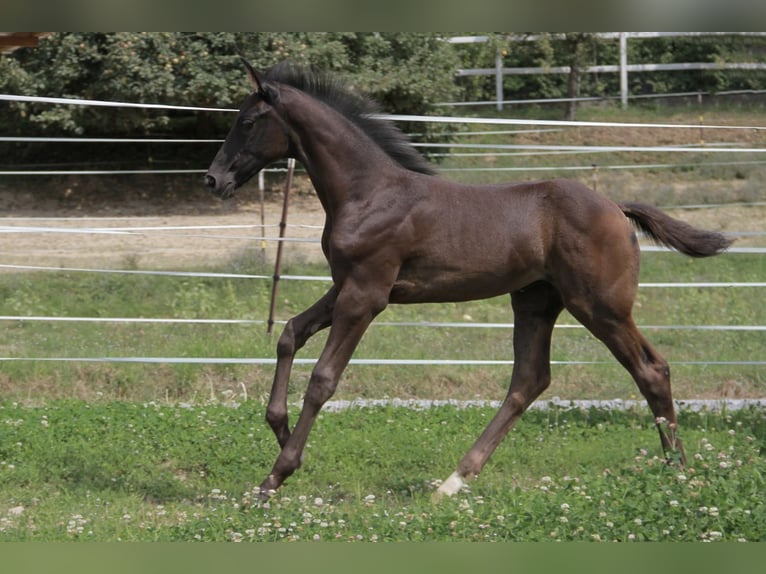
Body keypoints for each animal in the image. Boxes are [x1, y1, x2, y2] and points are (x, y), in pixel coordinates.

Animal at [205, 59, 733, 501]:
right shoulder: (346, 285)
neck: (368, 192)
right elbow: (290, 332)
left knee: (650, 370)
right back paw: (454, 480)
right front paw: (279, 429)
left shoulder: (366, 295)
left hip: (600, 306)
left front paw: (276, 475)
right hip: (536, 301)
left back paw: (678, 471)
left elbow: (323, 379)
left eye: (247, 121)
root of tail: (616, 208)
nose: (213, 179)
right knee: (529, 380)